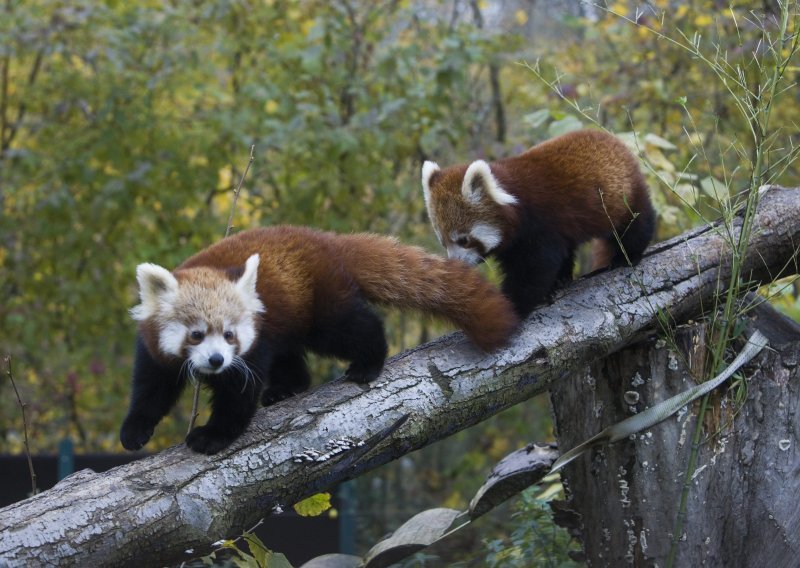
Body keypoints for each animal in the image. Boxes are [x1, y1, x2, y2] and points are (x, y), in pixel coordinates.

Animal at [119, 224, 520, 454]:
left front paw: (212, 437)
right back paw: (286, 389)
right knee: (289, 356)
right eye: (197, 334)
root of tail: (329, 241)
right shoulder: (155, 350)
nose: (216, 360)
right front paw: (135, 430)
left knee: (353, 328)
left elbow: (237, 395)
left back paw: (368, 363)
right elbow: (152, 388)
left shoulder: (248, 352)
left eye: (229, 334)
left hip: (321, 307)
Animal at [422, 129, 652, 318]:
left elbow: (534, 268)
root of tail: (613, 139)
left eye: (463, 240)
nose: (457, 264)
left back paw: (627, 256)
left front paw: (511, 304)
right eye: (443, 243)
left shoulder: (540, 226)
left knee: (635, 224)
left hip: (624, 194)